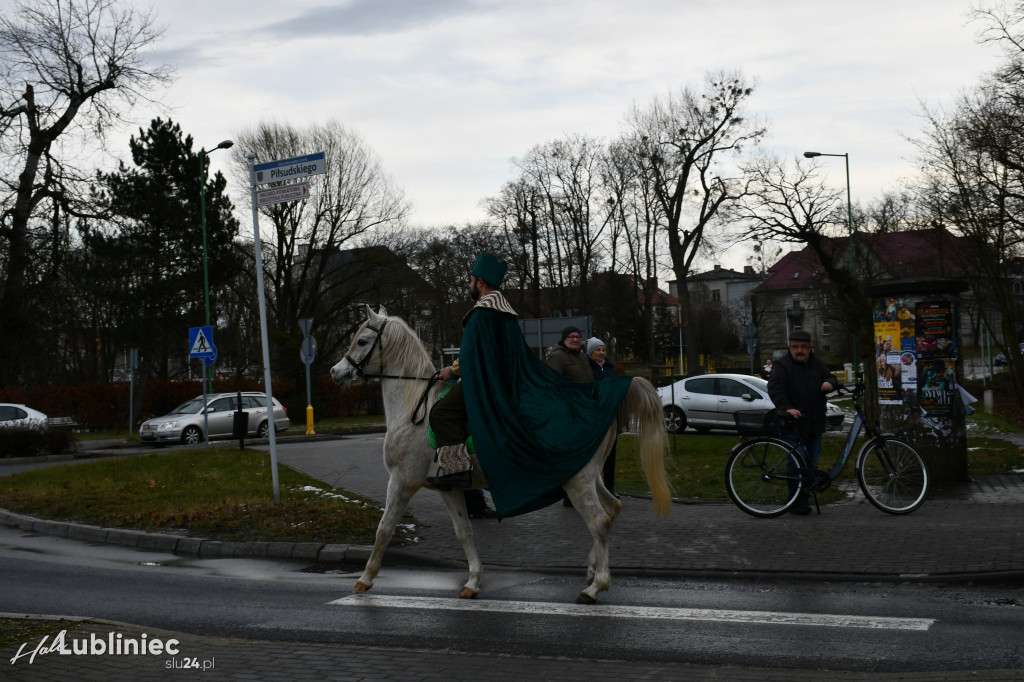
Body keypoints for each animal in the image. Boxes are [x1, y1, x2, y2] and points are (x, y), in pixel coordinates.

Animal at [329, 305, 671, 602]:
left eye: (362, 340)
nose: (336, 371)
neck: (415, 405)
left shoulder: (402, 481)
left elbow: (384, 529)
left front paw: (365, 579)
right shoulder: (449, 487)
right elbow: (464, 532)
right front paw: (472, 581)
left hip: (578, 481)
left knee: (599, 521)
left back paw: (595, 586)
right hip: (590, 476)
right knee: (612, 510)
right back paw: (591, 570)